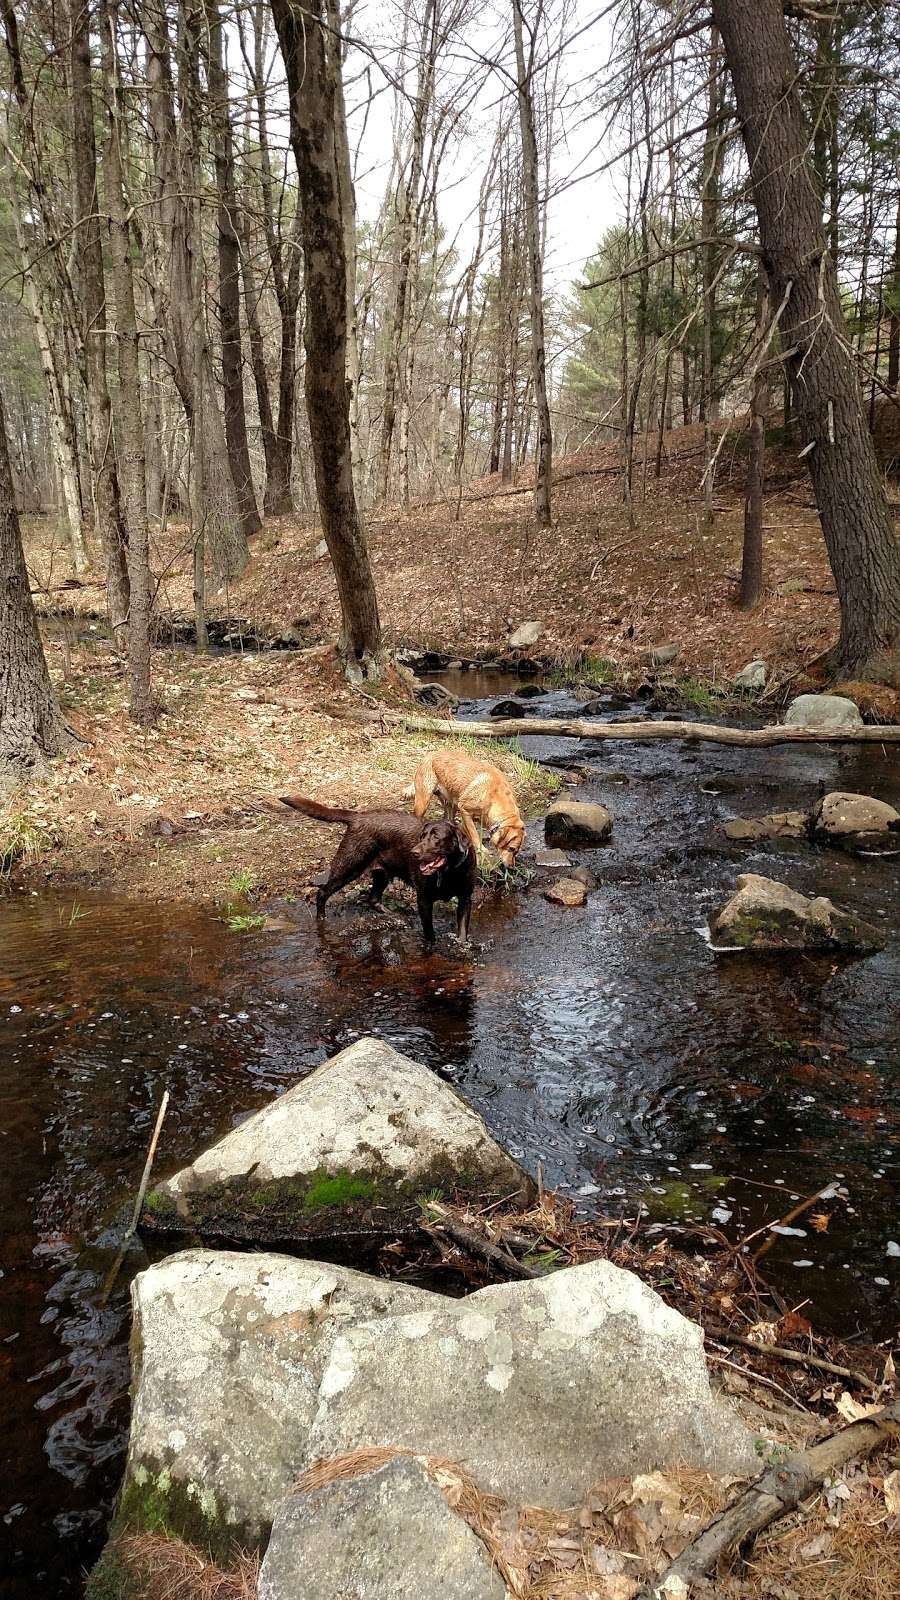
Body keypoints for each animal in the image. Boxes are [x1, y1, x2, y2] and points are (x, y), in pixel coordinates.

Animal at [278, 793, 477, 940]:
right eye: (421, 837)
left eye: (436, 838)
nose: (414, 852)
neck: (449, 872)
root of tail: (357, 816)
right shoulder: (424, 900)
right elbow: (430, 935)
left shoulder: (465, 899)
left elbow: (462, 933)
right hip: (349, 866)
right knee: (322, 892)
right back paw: (321, 919)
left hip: (381, 874)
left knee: (373, 899)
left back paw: (395, 916)